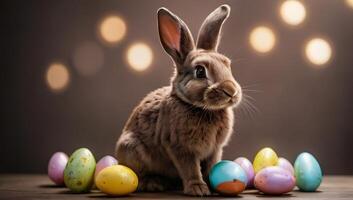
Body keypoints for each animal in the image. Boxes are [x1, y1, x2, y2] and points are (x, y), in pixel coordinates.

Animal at [115, 4, 242, 195]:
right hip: (132, 149)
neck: (199, 107)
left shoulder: (214, 150)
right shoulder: (180, 148)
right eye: (200, 71)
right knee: (137, 177)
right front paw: (198, 189)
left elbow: (211, 166)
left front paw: (212, 186)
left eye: (228, 65)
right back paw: (154, 183)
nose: (231, 91)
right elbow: (190, 168)